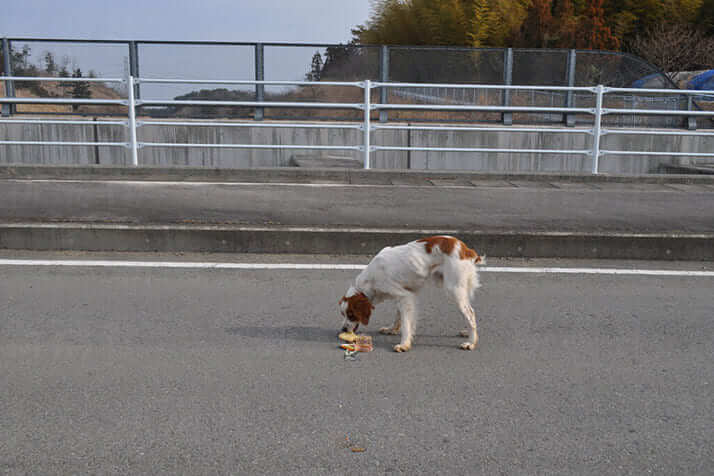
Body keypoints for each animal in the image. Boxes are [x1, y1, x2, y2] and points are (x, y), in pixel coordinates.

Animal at [336, 235, 482, 352]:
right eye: (343, 314)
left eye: (351, 314)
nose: (343, 329)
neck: (371, 279)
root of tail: (465, 249)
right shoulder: (401, 296)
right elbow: (398, 317)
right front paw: (391, 330)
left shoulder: (405, 296)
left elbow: (406, 324)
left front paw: (404, 344)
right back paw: (467, 333)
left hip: (453, 289)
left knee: (470, 313)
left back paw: (471, 342)